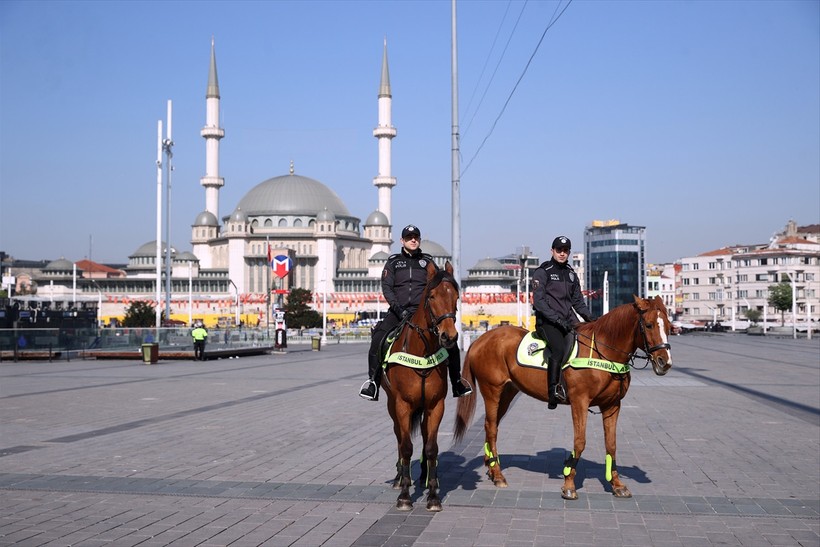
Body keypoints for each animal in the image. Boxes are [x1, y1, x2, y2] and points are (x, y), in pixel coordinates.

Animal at [380, 260, 458, 512]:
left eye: (456, 296)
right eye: (432, 296)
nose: (449, 337)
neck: (422, 352)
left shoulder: (436, 405)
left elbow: (431, 447)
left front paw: (433, 495)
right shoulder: (403, 405)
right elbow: (406, 446)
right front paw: (405, 495)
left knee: (424, 436)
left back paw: (425, 475)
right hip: (392, 405)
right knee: (398, 435)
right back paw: (399, 478)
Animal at [454, 296, 672, 500]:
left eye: (669, 326)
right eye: (649, 325)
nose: (665, 362)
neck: (602, 352)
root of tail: (480, 340)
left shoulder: (612, 405)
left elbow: (611, 444)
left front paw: (617, 484)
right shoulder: (579, 403)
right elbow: (580, 441)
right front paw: (569, 483)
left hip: (507, 393)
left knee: (491, 426)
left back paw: (492, 468)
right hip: (492, 391)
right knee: (491, 428)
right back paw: (498, 475)